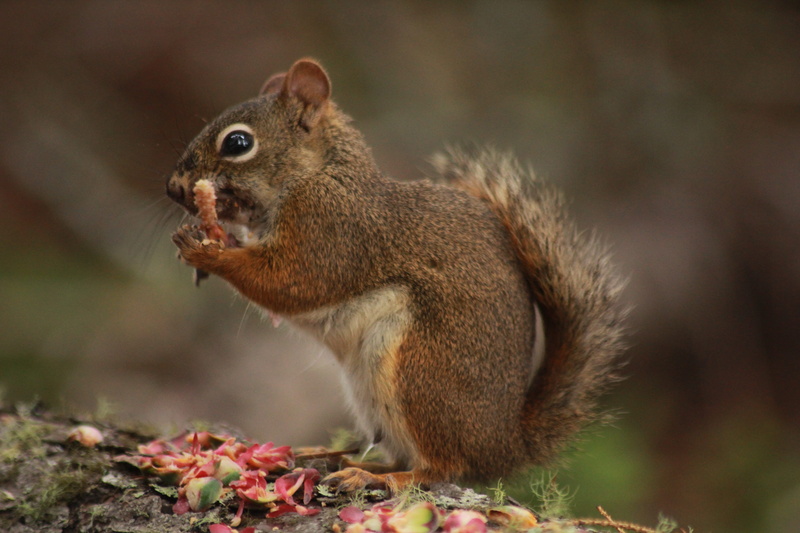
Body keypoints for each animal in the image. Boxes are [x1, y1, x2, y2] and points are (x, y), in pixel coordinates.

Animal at [167, 58, 627, 492]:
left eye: (238, 142)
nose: (174, 187)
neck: (317, 173)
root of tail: (503, 445)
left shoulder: (330, 230)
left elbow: (291, 283)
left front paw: (208, 252)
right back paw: (349, 462)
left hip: (418, 373)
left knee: (440, 467)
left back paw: (379, 478)